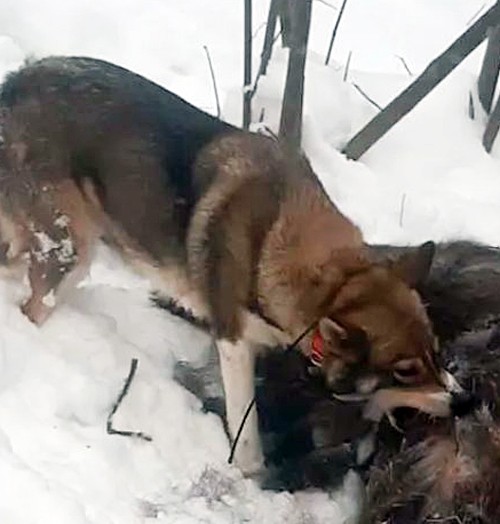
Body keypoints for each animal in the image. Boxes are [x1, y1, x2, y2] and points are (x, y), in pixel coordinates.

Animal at [0, 56, 461, 474]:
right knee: (33, 303)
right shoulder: (234, 342)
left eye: (438, 352)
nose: (464, 400)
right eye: (405, 372)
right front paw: (252, 471)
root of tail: (15, 83)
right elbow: (247, 429)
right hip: (68, 252)